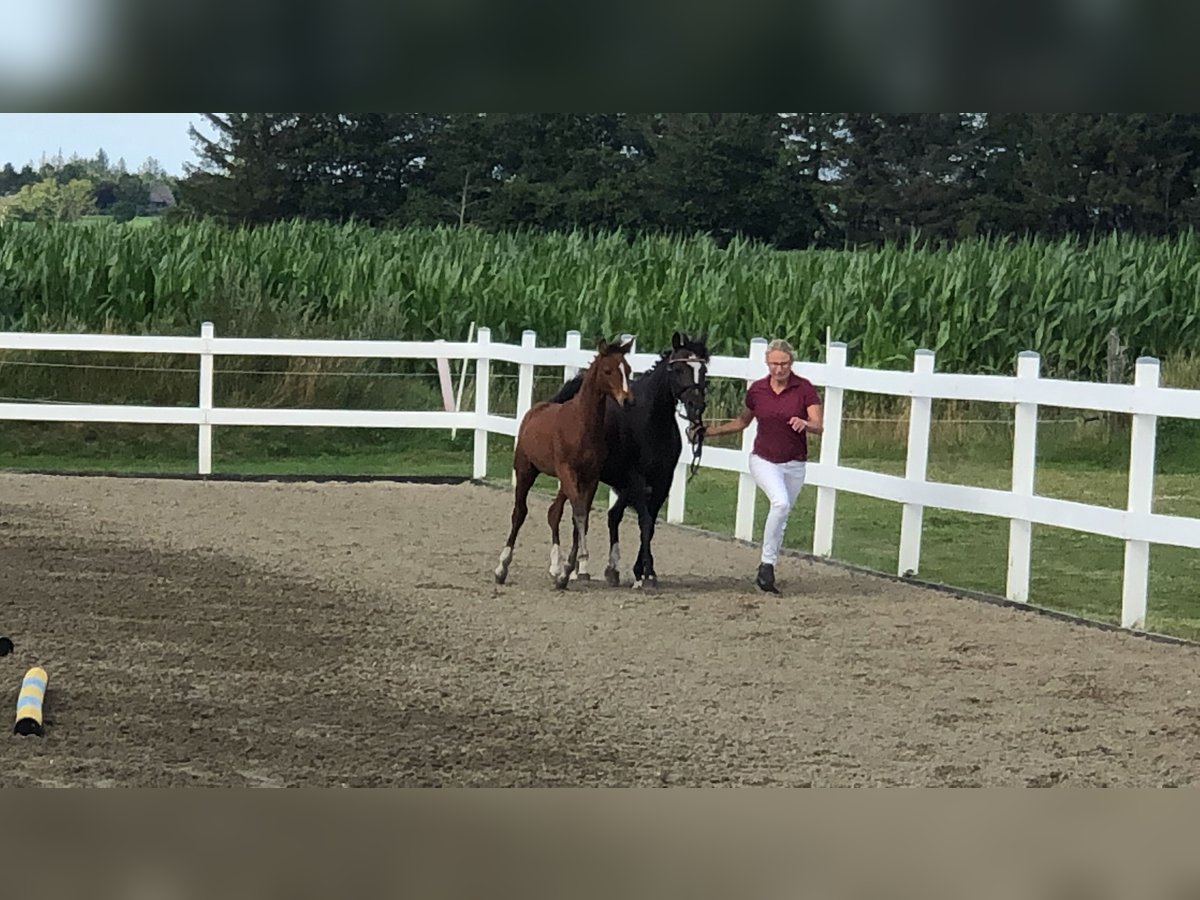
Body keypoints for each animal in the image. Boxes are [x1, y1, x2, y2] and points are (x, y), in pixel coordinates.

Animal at [494, 338, 638, 592]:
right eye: (608, 370)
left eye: (628, 370)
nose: (627, 400)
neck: (582, 425)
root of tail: (535, 410)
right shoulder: (568, 470)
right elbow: (578, 514)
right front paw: (579, 560)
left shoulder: (590, 477)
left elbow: (581, 516)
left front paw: (566, 571)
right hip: (525, 470)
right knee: (519, 512)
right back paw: (502, 568)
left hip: (563, 480)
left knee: (553, 512)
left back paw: (555, 567)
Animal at [549, 331, 705, 592]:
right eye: (678, 369)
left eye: (702, 369)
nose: (696, 405)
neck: (650, 421)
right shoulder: (637, 480)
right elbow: (644, 522)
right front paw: (646, 574)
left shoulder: (662, 482)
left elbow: (648, 524)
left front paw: (642, 571)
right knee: (579, 517)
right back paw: (579, 571)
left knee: (611, 515)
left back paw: (610, 569)